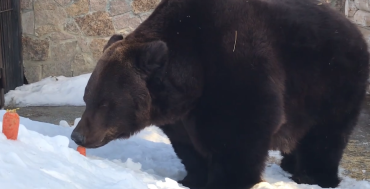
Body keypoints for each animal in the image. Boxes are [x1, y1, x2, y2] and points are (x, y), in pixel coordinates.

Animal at [71, 0, 368, 188]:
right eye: (87, 97)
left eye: (105, 102)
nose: (78, 135)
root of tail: (354, 29)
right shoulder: (181, 113)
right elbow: (189, 146)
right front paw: (191, 179)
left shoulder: (236, 72)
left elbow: (238, 137)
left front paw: (228, 181)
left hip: (330, 83)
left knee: (325, 135)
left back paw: (314, 177)